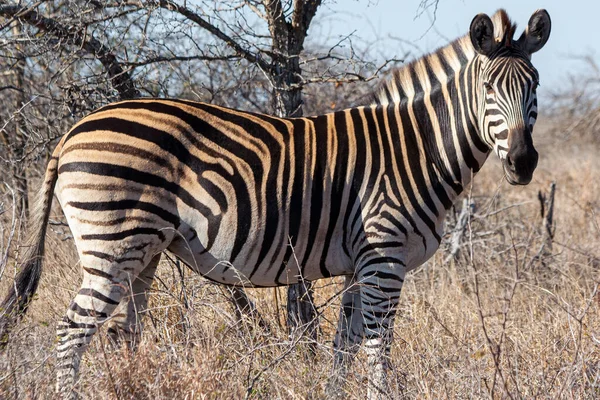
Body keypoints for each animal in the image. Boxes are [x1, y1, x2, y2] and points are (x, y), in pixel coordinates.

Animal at [0, 7, 552, 398]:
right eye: (488, 87)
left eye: (535, 86)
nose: (524, 162)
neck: (416, 148)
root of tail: (72, 131)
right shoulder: (384, 258)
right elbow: (378, 351)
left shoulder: (360, 266)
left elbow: (344, 348)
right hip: (112, 244)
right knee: (71, 331)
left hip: (144, 251)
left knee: (121, 334)